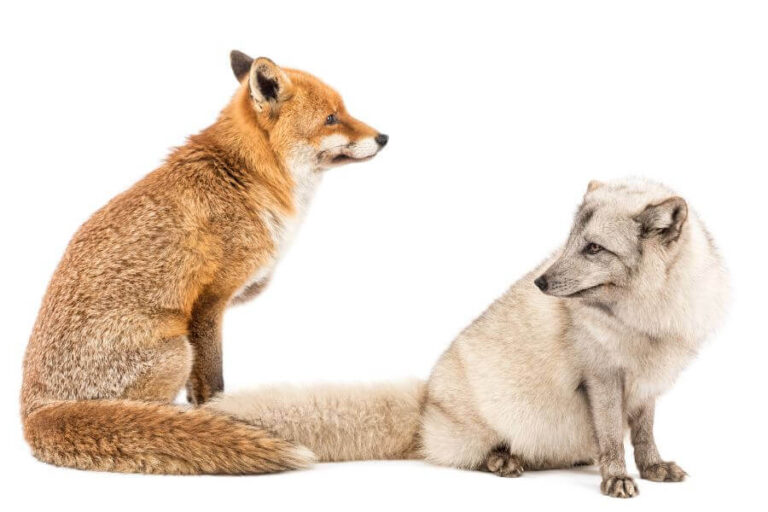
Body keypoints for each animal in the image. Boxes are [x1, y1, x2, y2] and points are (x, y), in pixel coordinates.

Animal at [21, 50, 388, 474]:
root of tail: (31, 413)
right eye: (331, 118)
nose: (384, 137)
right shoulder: (209, 302)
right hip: (176, 351)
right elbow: (213, 383)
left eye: (343, 111)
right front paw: (217, 417)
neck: (249, 177)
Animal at [209, 178, 729, 497]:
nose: (541, 283)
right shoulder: (602, 379)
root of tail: (426, 400)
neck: (646, 321)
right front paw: (617, 477)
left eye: (594, 248)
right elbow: (612, 439)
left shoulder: (645, 388)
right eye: (571, 243)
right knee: (468, 456)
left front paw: (653, 468)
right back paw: (502, 461)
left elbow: (642, 435)